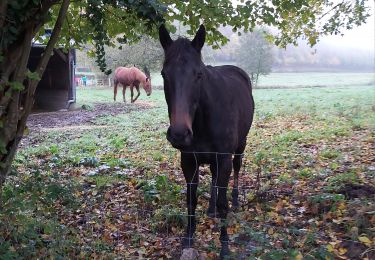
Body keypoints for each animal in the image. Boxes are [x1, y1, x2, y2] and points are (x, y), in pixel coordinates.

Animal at [159, 24, 256, 258]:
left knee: (237, 169)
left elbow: (223, 203)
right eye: (164, 74)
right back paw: (210, 209)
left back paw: (235, 200)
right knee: (213, 178)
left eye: (199, 74)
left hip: (240, 147)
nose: (179, 134)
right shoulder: (189, 161)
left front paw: (225, 245)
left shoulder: (224, 159)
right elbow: (191, 199)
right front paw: (189, 237)